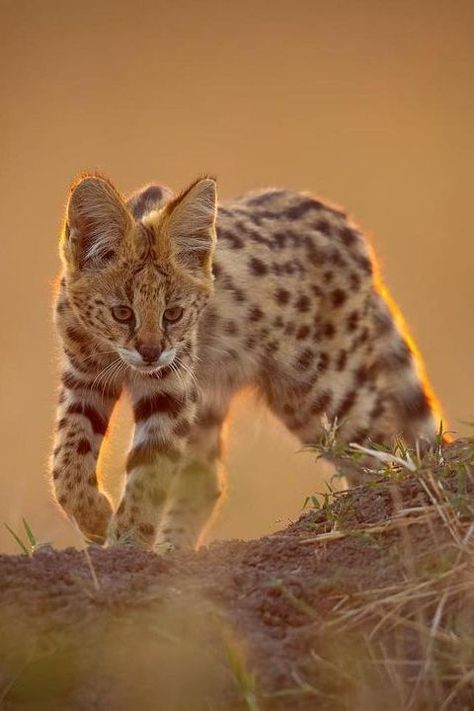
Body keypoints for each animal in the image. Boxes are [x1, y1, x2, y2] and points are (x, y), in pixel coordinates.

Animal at [50, 174, 442, 552]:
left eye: (173, 314)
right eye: (122, 313)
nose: (151, 352)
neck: (116, 354)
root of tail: (347, 226)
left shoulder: (171, 384)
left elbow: (149, 471)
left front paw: (127, 545)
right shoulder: (84, 376)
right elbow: (66, 459)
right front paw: (93, 516)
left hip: (321, 388)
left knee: (384, 447)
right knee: (207, 479)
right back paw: (173, 549)